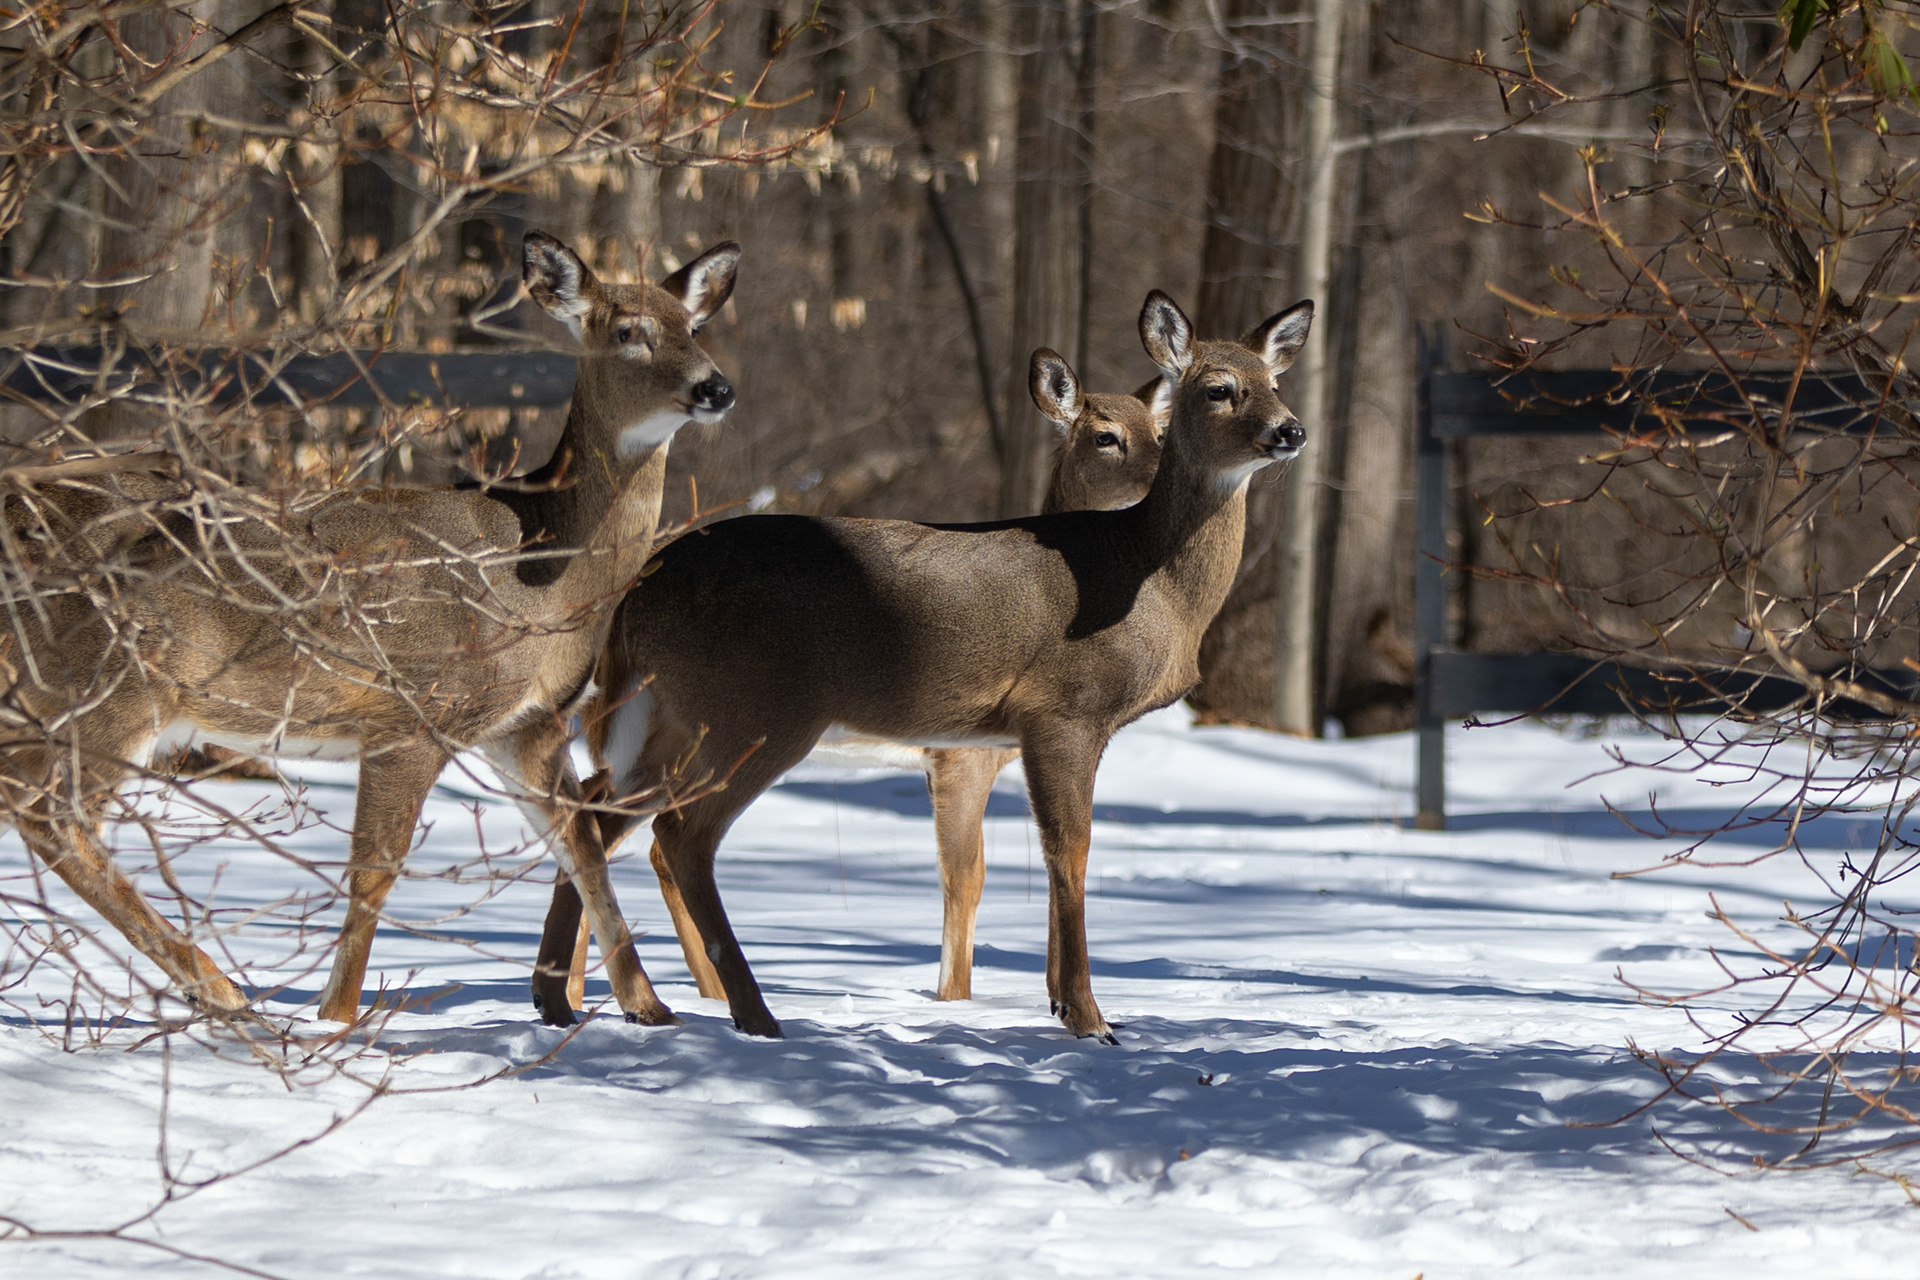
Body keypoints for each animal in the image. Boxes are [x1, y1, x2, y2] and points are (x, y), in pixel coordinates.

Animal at [0, 230, 738, 1029]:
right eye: (629, 331)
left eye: (695, 327)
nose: (716, 389)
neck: (541, 572)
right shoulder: (415, 712)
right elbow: (375, 873)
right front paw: (337, 1019)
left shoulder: (526, 725)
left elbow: (582, 845)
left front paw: (649, 1008)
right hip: (113, 681)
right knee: (47, 813)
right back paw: (224, 991)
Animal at [538, 290, 1311, 1042]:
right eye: (1219, 388)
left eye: (1277, 383)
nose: (1291, 431)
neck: (1151, 579)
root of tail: (639, 589)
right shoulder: (1061, 708)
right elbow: (1069, 850)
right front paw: (1090, 1019)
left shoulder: (1015, 735)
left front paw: (1061, 1006)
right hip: (755, 708)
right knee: (681, 835)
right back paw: (748, 1014)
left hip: (673, 713)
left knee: (593, 813)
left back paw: (569, 1001)